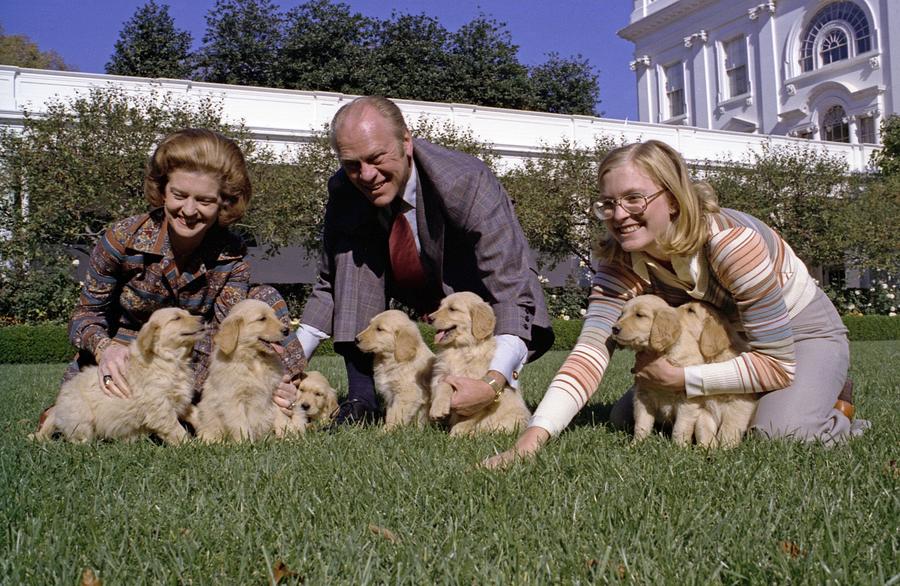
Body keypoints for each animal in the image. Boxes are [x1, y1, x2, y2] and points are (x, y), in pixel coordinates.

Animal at [31, 308, 204, 440]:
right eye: (177, 318)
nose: (202, 319)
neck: (170, 360)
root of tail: (58, 407)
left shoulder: (180, 399)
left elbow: (195, 412)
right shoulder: (159, 407)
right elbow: (176, 430)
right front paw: (192, 446)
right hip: (81, 417)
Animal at [193, 298, 306, 440]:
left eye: (274, 316)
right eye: (262, 319)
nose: (286, 330)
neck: (255, 360)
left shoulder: (276, 393)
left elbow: (282, 417)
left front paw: (287, 437)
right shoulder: (233, 400)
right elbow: (241, 425)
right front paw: (246, 442)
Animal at [428, 290, 532, 434]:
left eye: (452, 309)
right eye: (440, 306)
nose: (428, 318)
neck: (460, 348)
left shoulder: (478, 396)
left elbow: (468, 418)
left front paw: (457, 434)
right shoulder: (441, 374)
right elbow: (444, 385)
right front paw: (438, 408)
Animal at [616, 292, 756, 448]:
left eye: (639, 315)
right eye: (621, 314)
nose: (614, 329)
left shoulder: (735, 406)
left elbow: (723, 430)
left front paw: (681, 448)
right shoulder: (643, 396)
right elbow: (642, 423)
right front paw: (635, 445)